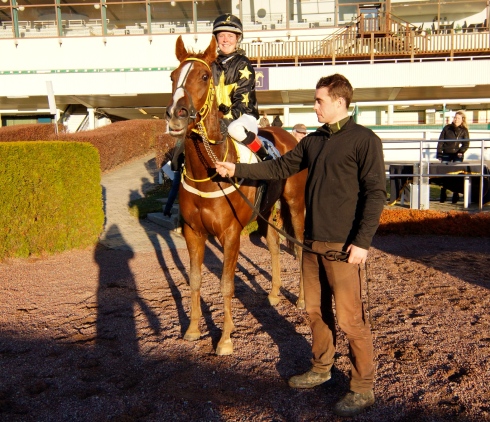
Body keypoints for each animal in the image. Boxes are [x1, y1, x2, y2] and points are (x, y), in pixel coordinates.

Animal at [167, 35, 306, 356]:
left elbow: (227, 284)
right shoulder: (193, 231)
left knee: (301, 247)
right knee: (273, 242)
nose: (176, 115)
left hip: (295, 205)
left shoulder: (230, 233)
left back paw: (303, 299)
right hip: (266, 210)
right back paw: (274, 293)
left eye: (204, 76)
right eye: (172, 76)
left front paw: (225, 339)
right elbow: (194, 280)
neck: (209, 173)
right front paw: (193, 329)